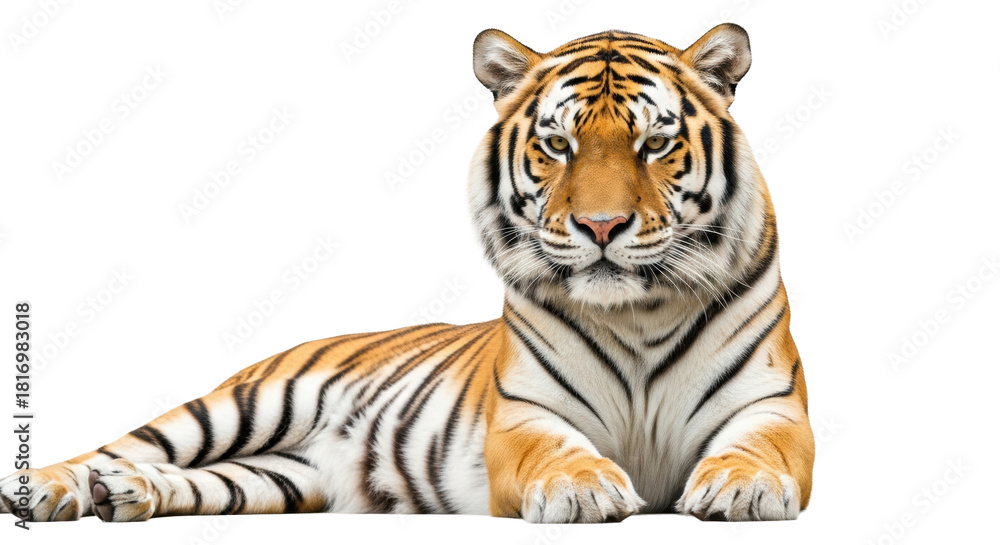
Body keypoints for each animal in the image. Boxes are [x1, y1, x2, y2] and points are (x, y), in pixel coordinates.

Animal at [1, 24, 813, 524]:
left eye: (655, 144)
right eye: (557, 144)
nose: (602, 227)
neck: (636, 313)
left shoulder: (773, 407)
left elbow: (758, 447)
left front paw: (742, 486)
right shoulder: (524, 416)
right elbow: (559, 449)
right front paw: (583, 489)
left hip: (279, 475)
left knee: (192, 479)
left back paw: (126, 496)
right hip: (239, 406)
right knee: (123, 445)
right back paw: (46, 488)